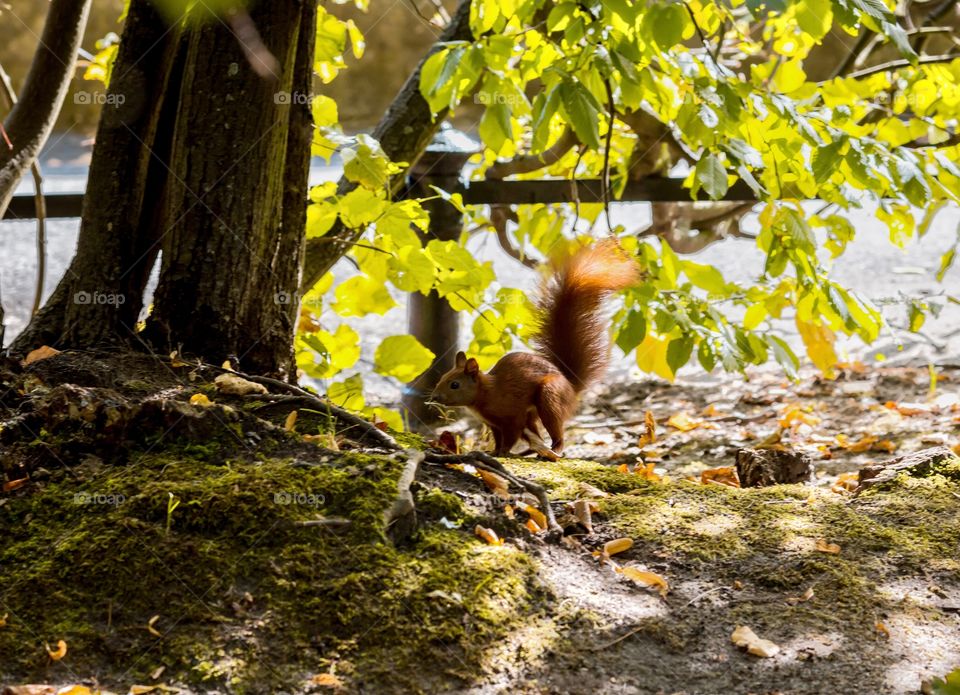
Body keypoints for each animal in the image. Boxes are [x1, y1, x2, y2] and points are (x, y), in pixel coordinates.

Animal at [431, 238, 639, 457]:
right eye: (441, 378)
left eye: (455, 384)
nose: (434, 397)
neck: (487, 392)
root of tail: (571, 386)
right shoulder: (494, 424)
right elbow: (499, 437)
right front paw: (494, 451)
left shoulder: (512, 415)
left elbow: (511, 435)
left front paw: (503, 452)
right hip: (535, 413)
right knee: (536, 435)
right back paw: (533, 450)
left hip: (550, 397)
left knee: (556, 432)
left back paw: (553, 449)